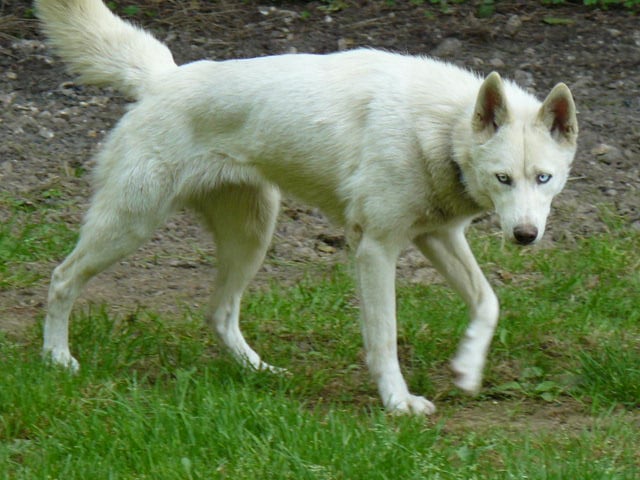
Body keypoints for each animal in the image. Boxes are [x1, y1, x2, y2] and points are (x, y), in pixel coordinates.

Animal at [35, 0, 578, 414]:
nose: (525, 236)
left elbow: (489, 302)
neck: (442, 130)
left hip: (251, 236)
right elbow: (384, 338)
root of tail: (162, 78)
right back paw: (57, 359)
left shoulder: (438, 237)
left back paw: (261, 372)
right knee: (62, 279)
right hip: (131, 225)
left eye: (543, 178)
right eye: (502, 178)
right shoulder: (376, 249)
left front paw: (466, 370)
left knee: (219, 314)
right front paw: (399, 404)